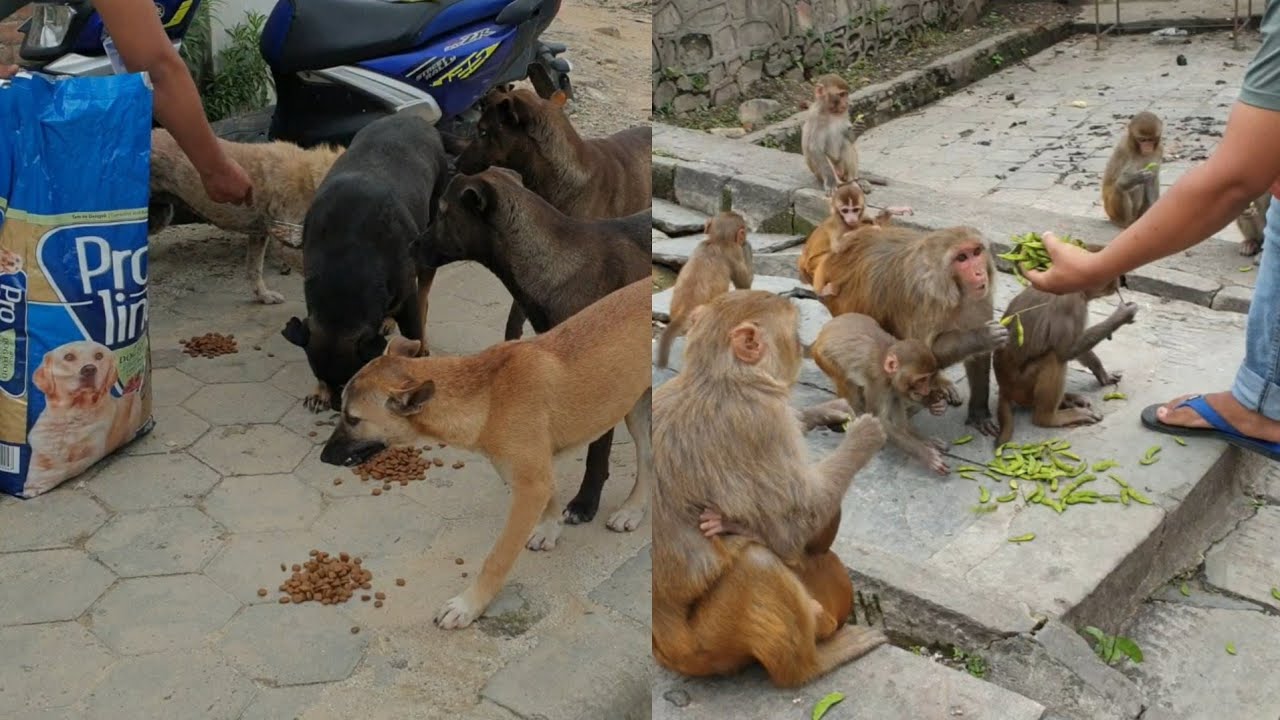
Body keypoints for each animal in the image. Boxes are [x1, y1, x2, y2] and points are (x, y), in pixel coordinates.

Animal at [652, 289, 889, 688]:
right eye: (793, 336)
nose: (803, 348)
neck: (719, 377)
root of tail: (667, 651)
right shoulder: (763, 420)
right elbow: (795, 531)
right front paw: (863, 436)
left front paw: (825, 411)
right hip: (708, 646)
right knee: (759, 563)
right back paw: (812, 663)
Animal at [655, 211, 754, 368]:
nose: (745, 239)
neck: (717, 240)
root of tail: (684, 312)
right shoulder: (734, 252)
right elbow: (743, 283)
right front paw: (747, 247)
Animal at [811, 313, 951, 475]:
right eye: (921, 380)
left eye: (929, 378)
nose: (926, 390)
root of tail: (823, 332)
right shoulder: (878, 383)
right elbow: (879, 420)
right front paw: (926, 454)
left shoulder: (894, 385)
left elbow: (900, 403)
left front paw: (934, 408)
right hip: (825, 359)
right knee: (847, 383)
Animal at [818, 224, 1008, 435]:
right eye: (962, 258)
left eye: (976, 252)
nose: (979, 273)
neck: (951, 287)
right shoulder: (925, 299)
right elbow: (922, 353)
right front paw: (982, 336)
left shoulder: (981, 298)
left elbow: (978, 357)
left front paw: (979, 414)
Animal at [993, 252, 1138, 446]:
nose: (1121, 279)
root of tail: (1005, 388)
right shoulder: (1071, 303)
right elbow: (1065, 350)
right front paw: (1122, 315)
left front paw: (1102, 373)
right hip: (1022, 386)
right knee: (1054, 358)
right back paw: (1050, 418)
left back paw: (1067, 400)